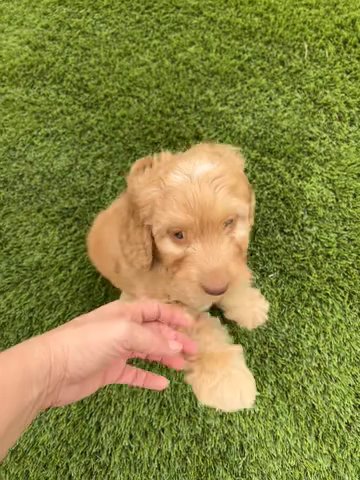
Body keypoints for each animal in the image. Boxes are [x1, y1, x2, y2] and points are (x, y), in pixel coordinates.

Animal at [86, 142, 268, 408]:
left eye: (229, 223)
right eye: (178, 235)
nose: (216, 288)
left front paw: (248, 305)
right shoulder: (166, 309)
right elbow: (203, 337)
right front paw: (227, 381)